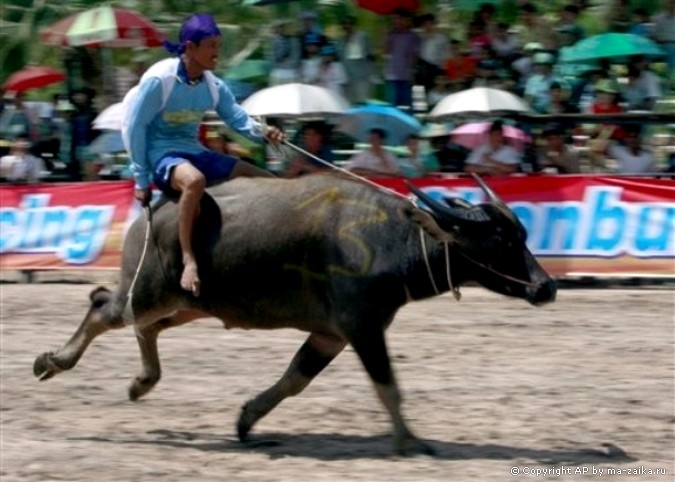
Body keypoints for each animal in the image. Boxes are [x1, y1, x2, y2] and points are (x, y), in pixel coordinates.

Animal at [34, 174, 556, 456]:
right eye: (501, 240)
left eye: (522, 234)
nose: (547, 286)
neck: (388, 239)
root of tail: (153, 208)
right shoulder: (363, 329)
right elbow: (389, 388)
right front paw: (411, 442)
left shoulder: (332, 335)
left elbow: (294, 380)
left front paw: (247, 420)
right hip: (148, 292)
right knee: (103, 305)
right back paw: (53, 361)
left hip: (189, 303)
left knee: (145, 327)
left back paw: (142, 382)